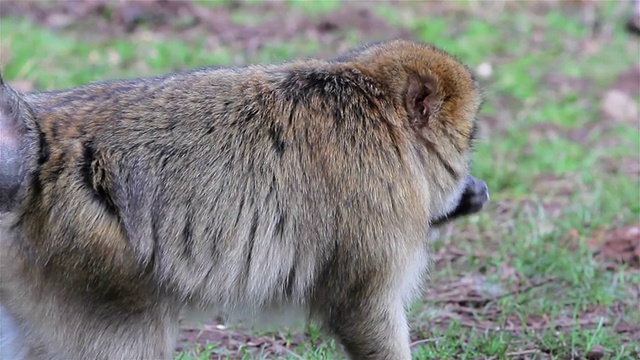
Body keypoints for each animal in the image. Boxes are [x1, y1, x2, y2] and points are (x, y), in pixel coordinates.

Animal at [0, 40, 482, 360]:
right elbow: (361, 309)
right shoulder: (380, 206)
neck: (381, 118)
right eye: (468, 141)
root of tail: (39, 145)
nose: (474, 184)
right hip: (92, 268)